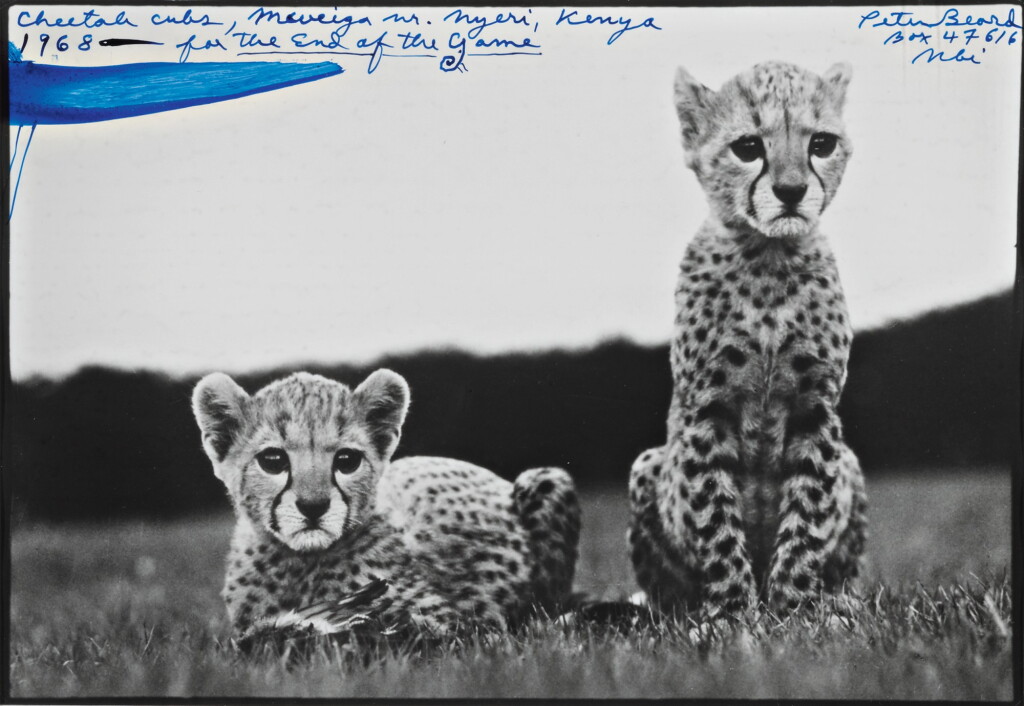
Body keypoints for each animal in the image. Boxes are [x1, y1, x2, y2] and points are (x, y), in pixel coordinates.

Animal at [192, 368, 580, 645]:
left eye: (347, 460)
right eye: (273, 461)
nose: (313, 506)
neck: (300, 562)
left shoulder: (464, 624)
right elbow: (255, 636)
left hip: (547, 479)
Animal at [627, 61, 867, 622]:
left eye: (821, 143)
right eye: (748, 147)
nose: (791, 190)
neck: (768, 256)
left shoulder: (817, 407)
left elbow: (807, 512)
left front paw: (795, 610)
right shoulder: (706, 409)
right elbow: (715, 517)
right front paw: (733, 614)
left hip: (852, 464)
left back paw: (840, 601)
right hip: (647, 465)